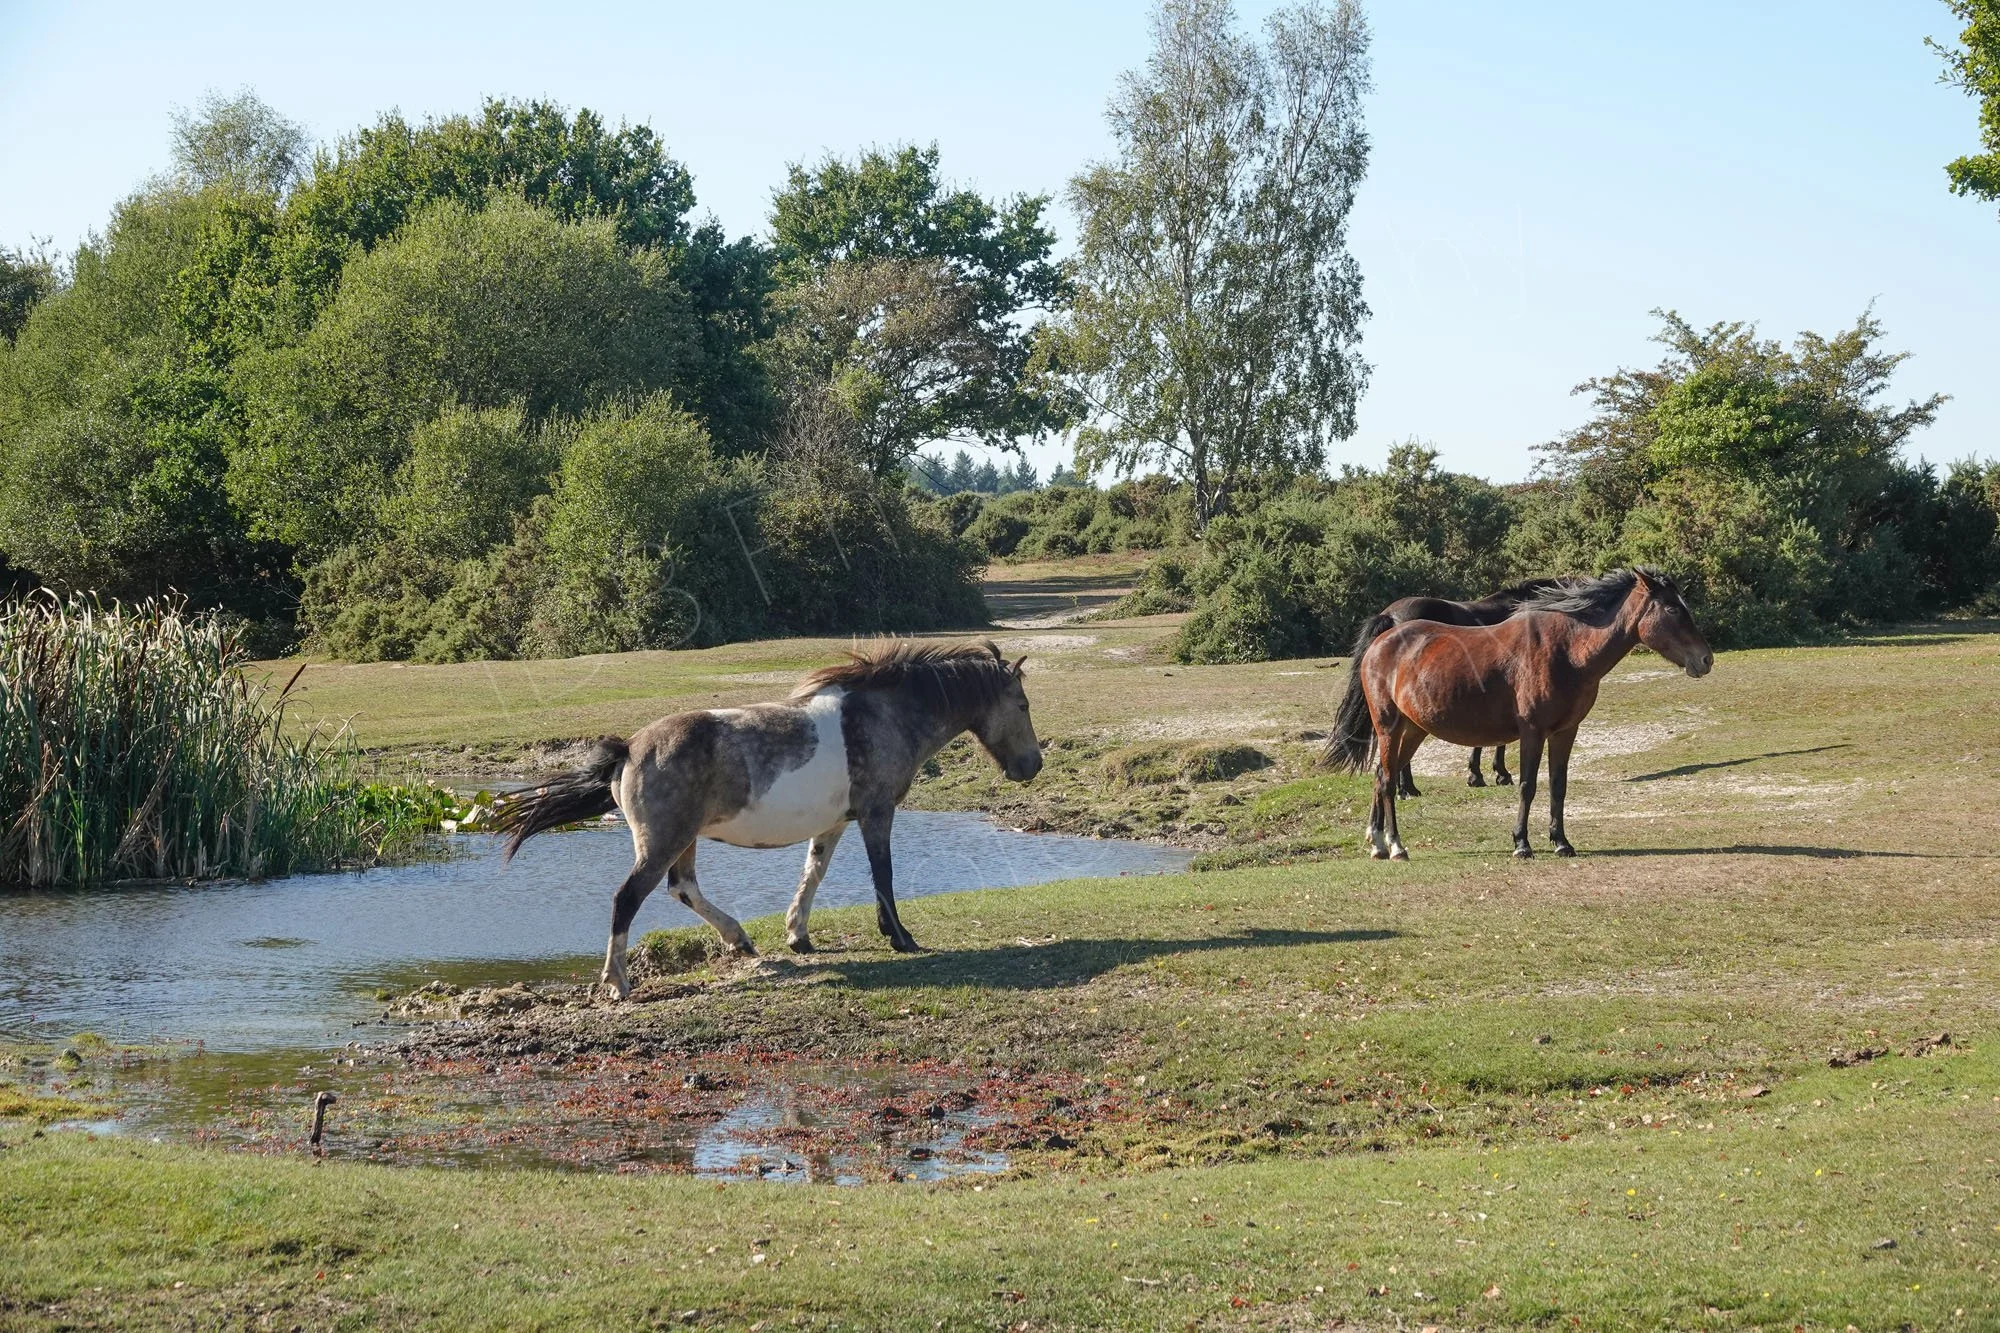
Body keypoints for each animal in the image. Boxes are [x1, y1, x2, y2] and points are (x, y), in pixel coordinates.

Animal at [489, 640, 1044, 999]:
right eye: (1021, 704)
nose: (1032, 765)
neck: (884, 715)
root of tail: (628, 748)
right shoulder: (877, 812)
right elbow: (882, 876)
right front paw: (900, 937)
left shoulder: (836, 821)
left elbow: (813, 873)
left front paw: (798, 935)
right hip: (663, 841)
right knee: (628, 898)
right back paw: (618, 982)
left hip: (683, 840)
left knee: (683, 888)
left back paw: (739, 939)